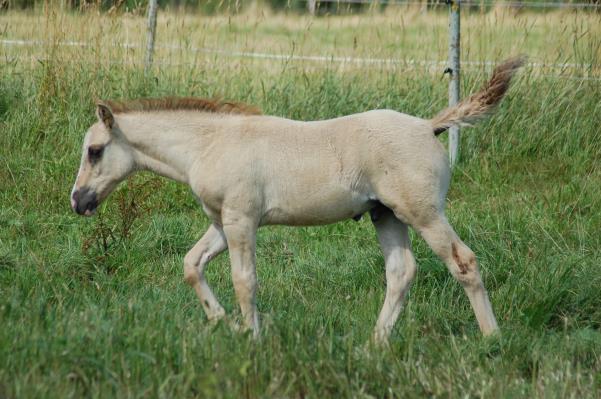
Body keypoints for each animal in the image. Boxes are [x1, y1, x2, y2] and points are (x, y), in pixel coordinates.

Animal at [69, 57, 520, 344]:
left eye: (94, 151)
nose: (78, 201)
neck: (210, 144)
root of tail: (429, 126)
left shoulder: (241, 220)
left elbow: (245, 280)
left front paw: (252, 337)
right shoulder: (221, 222)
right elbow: (191, 265)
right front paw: (224, 323)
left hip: (422, 213)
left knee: (463, 262)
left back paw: (492, 339)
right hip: (386, 215)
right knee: (401, 272)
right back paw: (375, 344)